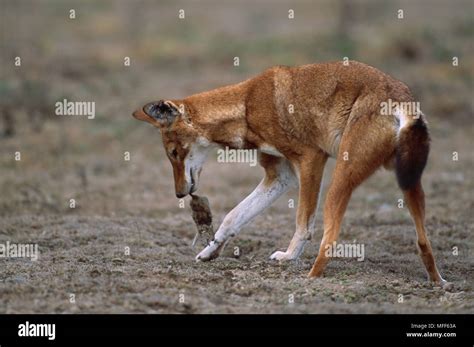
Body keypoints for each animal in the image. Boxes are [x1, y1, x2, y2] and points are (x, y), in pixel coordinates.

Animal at [132, 61, 444, 284]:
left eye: (173, 153)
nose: (179, 194)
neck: (245, 107)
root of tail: (400, 98)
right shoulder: (280, 176)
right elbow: (233, 217)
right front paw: (210, 251)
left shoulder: (310, 161)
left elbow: (302, 224)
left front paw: (288, 257)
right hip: (408, 182)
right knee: (423, 241)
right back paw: (439, 283)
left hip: (339, 181)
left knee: (330, 238)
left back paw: (310, 278)